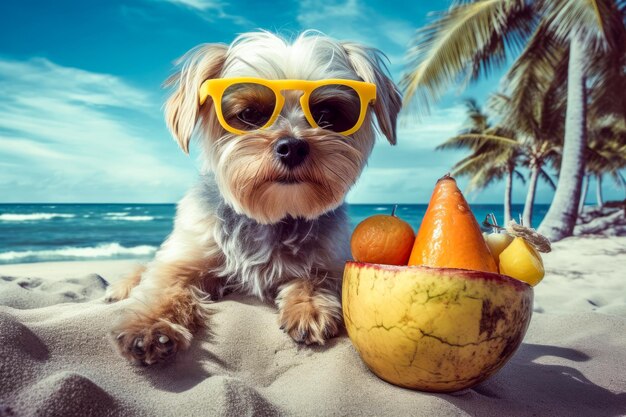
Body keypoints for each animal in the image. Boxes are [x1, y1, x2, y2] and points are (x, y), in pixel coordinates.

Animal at [105, 30, 400, 364]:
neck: (272, 216)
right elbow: (164, 284)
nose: (292, 146)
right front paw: (150, 325)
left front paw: (309, 307)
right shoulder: (188, 254)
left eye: (327, 114)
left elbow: (317, 275)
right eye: (249, 114)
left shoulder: (330, 257)